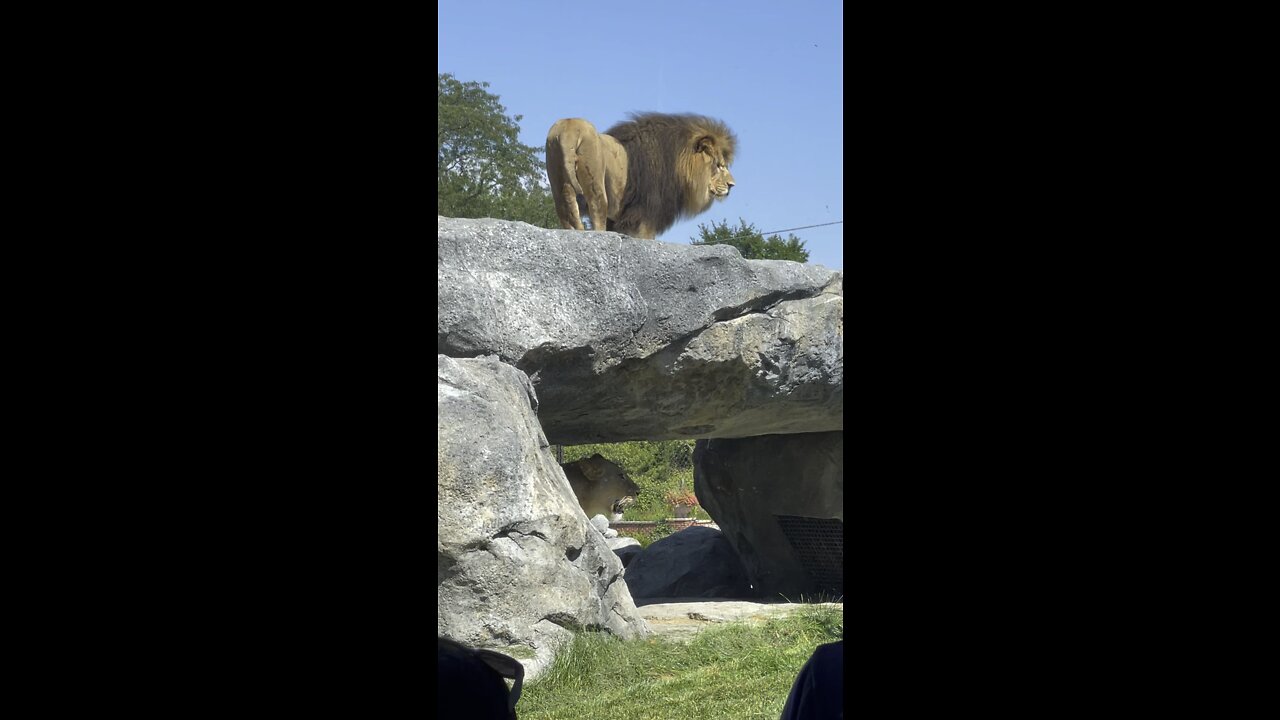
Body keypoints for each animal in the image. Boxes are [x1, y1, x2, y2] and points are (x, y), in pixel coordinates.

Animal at [542, 110, 742, 237]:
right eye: (719, 165)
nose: (732, 185)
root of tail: (568, 130)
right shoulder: (646, 212)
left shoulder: (623, 217)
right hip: (595, 182)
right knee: (596, 211)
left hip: (557, 178)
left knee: (566, 211)